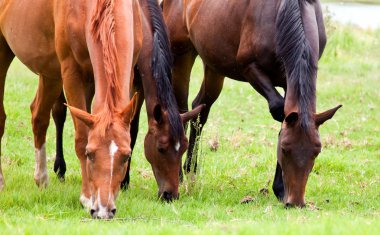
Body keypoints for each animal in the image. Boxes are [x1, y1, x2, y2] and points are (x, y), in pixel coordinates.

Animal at [0, 0, 147, 218]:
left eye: (126, 156)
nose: (104, 211)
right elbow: (81, 137)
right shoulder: (72, 72)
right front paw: (87, 198)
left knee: (39, 116)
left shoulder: (127, 73)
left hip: (50, 72)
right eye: (90, 153)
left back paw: (42, 178)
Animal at [52, 0, 205, 202]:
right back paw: (60, 168)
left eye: (183, 148)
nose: (169, 195)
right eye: (161, 148)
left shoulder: (137, 84)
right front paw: (123, 180)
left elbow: (131, 128)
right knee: (59, 113)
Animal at [162, 0, 342, 207]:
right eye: (284, 149)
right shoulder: (250, 67)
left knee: (200, 109)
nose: (296, 202)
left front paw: (280, 189)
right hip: (181, 55)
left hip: (214, 65)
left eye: (316, 152)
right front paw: (280, 187)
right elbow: (278, 109)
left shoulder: (288, 80)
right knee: (181, 109)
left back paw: (191, 168)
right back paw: (179, 174)